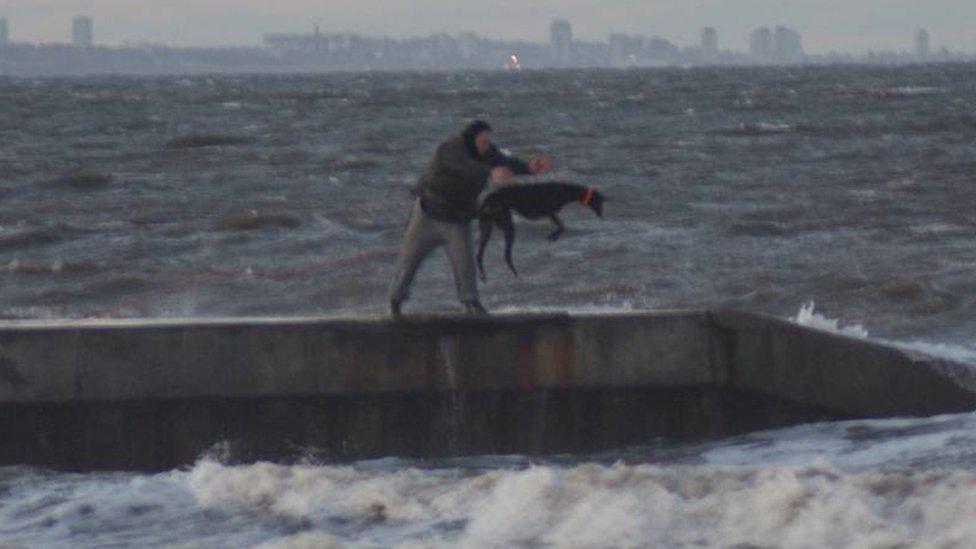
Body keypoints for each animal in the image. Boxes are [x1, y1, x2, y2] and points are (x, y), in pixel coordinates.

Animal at [474, 182, 604, 280]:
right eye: (600, 203)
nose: (602, 217)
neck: (563, 191)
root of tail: (489, 198)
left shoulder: (551, 213)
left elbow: (561, 226)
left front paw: (553, 236)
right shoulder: (549, 212)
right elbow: (562, 226)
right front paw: (553, 236)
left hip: (487, 227)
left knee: (480, 255)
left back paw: (484, 274)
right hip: (506, 225)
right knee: (506, 255)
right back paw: (517, 276)